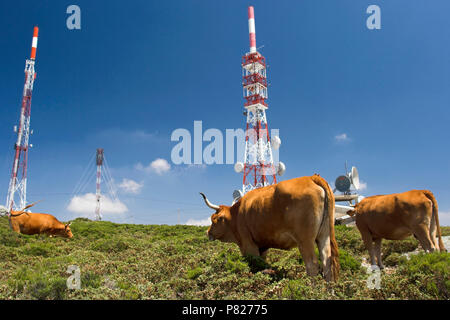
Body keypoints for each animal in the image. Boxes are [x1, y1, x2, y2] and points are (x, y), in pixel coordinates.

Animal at [199, 174, 340, 282]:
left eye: (214, 219)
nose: (208, 232)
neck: (236, 214)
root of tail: (311, 177)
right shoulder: (262, 246)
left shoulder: (249, 245)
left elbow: (255, 267)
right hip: (324, 236)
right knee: (327, 263)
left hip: (305, 240)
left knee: (312, 265)